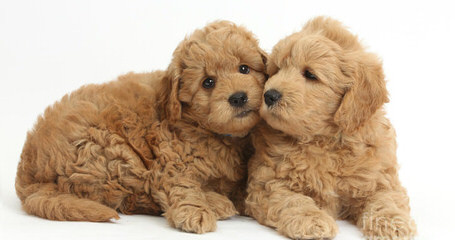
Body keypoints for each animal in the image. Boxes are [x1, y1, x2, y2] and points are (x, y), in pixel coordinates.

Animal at [16, 21, 268, 233]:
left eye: (244, 69)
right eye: (208, 82)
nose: (238, 97)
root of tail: (27, 170)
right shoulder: (171, 160)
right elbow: (180, 185)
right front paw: (195, 212)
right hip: (111, 151)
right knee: (132, 197)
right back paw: (216, 203)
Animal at [246, 17, 416, 240]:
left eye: (310, 74)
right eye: (276, 70)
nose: (269, 95)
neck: (324, 140)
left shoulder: (381, 177)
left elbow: (386, 198)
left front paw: (393, 222)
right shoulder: (266, 183)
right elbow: (292, 200)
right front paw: (311, 220)